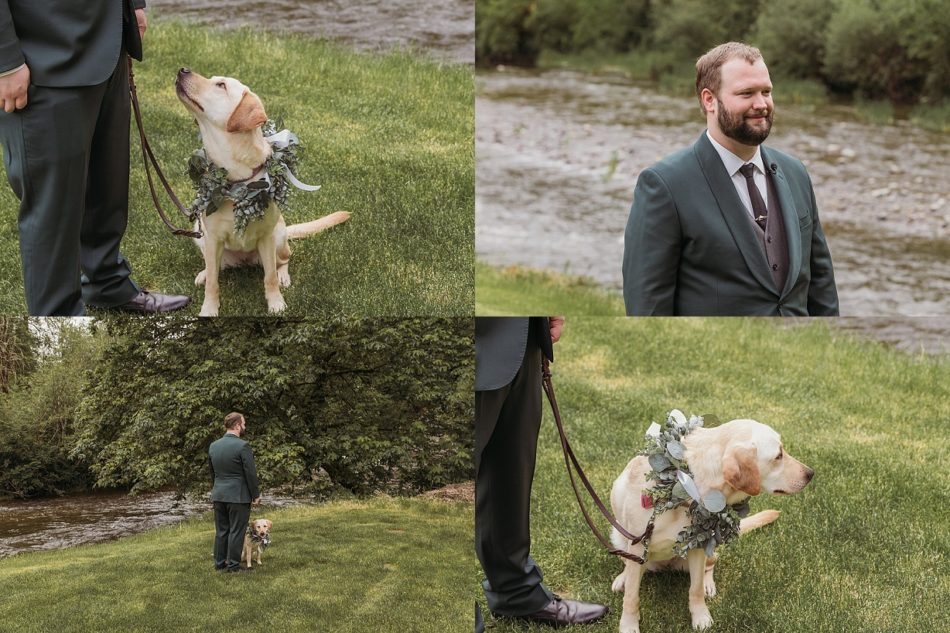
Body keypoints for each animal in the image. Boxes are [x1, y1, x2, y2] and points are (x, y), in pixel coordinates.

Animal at [175, 69, 350, 316]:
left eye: (220, 85)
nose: (183, 70)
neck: (234, 179)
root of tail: (244, 260)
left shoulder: (266, 238)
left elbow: (269, 278)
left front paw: (276, 304)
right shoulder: (212, 239)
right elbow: (213, 283)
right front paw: (209, 309)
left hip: (278, 238)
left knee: (283, 260)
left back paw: (283, 276)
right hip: (199, 236)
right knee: (214, 268)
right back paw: (203, 273)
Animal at [612, 418, 816, 628]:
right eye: (778, 455)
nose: (811, 473)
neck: (688, 487)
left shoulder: (697, 547)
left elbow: (695, 589)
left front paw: (701, 616)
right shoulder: (638, 547)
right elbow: (631, 597)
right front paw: (628, 625)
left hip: (710, 548)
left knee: (709, 568)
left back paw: (708, 584)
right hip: (620, 540)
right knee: (628, 568)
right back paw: (622, 579)